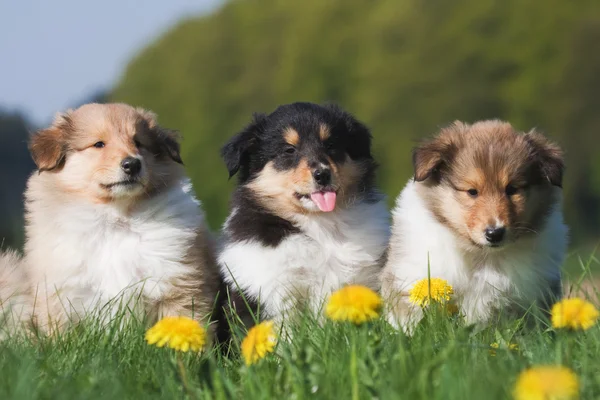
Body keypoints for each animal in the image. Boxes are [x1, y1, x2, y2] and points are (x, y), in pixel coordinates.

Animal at [24, 102, 220, 332]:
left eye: (138, 142)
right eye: (99, 144)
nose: (132, 164)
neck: (116, 217)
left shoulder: (178, 283)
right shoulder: (62, 295)